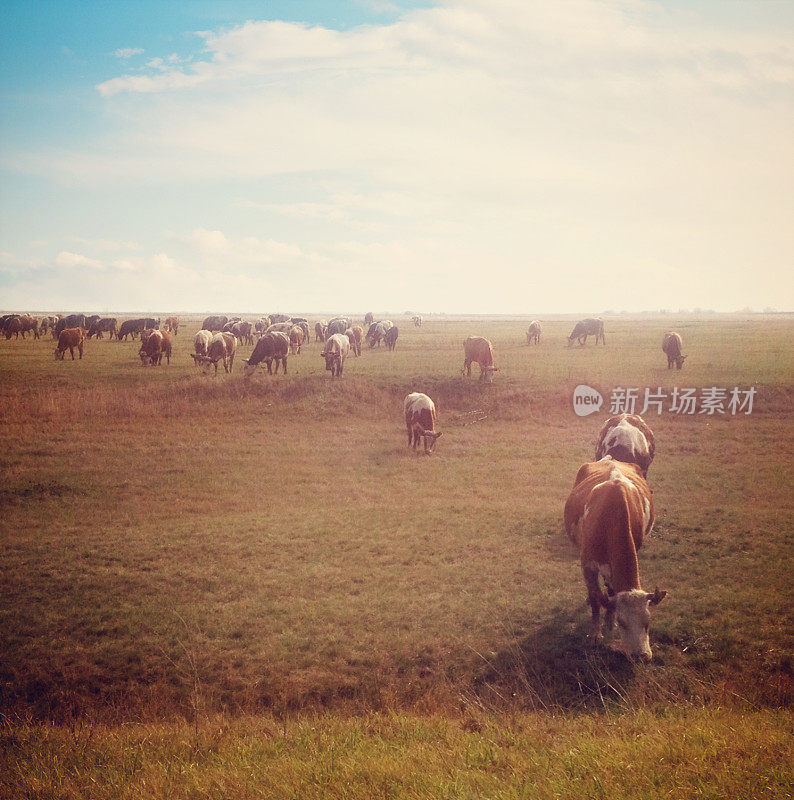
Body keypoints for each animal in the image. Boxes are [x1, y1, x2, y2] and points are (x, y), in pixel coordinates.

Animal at [560, 456, 664, 664]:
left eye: (648, 622)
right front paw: (596, 634)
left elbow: (611, 593)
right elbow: (595, 597)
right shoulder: (588, 564)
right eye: (622, 623)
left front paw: (608, 619)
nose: (641, 656)